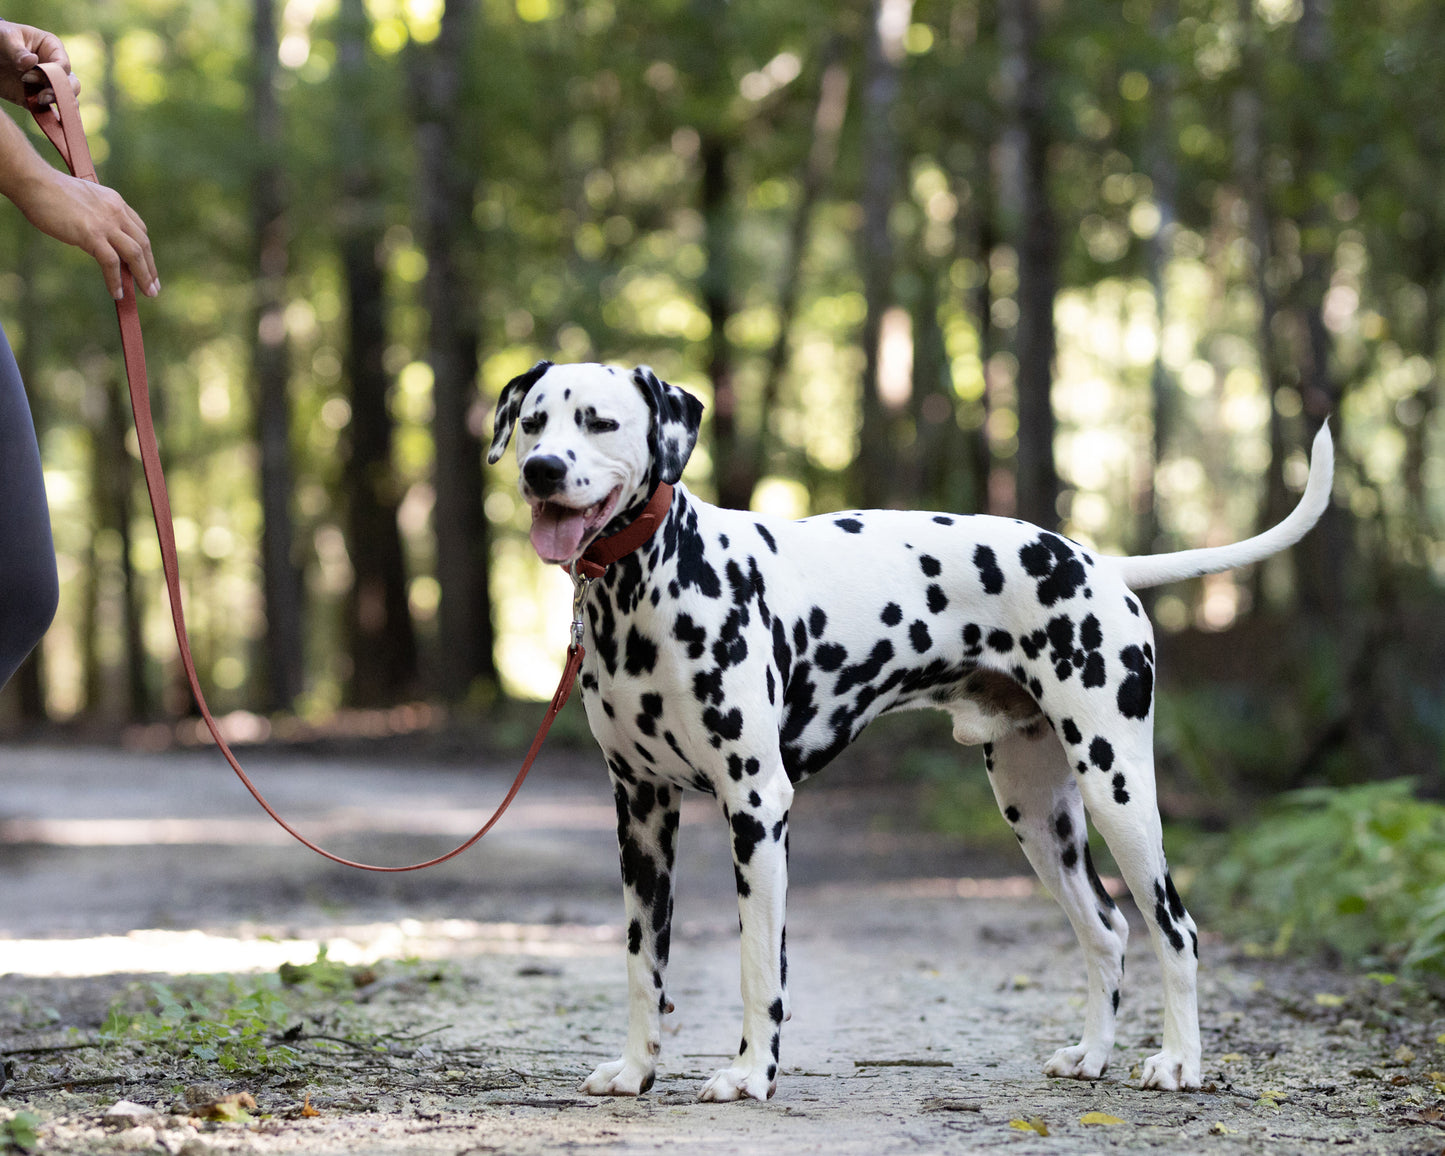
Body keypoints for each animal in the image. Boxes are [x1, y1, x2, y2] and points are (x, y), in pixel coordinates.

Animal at [485, 358, 1329, 1103]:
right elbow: (642, 963)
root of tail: (1099, 563)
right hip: (1038, 815)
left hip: (1117, 788)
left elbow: (758, 963)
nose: (542, 470)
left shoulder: (755, 807)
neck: (648, 588)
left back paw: (1179, 1062)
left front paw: (750, 1075)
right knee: (1107, 930)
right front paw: (635, 1071)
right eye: (533, 423)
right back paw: (1090, 1056)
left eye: (599, 421)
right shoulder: (640, 814)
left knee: (1174, 928)